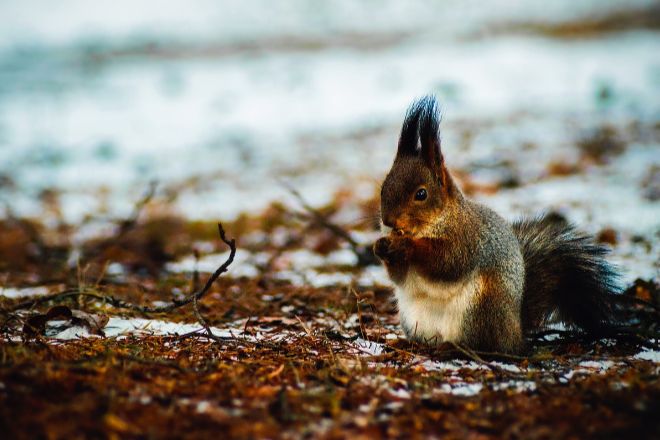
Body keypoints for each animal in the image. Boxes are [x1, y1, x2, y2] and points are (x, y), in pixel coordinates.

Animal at [376, 95, 620, 354]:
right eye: (383, 188)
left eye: (421, 194)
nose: (388, 221)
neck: (437, 221)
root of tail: (515, 332)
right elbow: (399, 277)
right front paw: (380, 246)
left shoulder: (467, 239)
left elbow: (447, 262)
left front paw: (407, 246)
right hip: (413, 318)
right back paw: (407, 342)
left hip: (481, 307)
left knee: (481, 343)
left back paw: (453, 347)